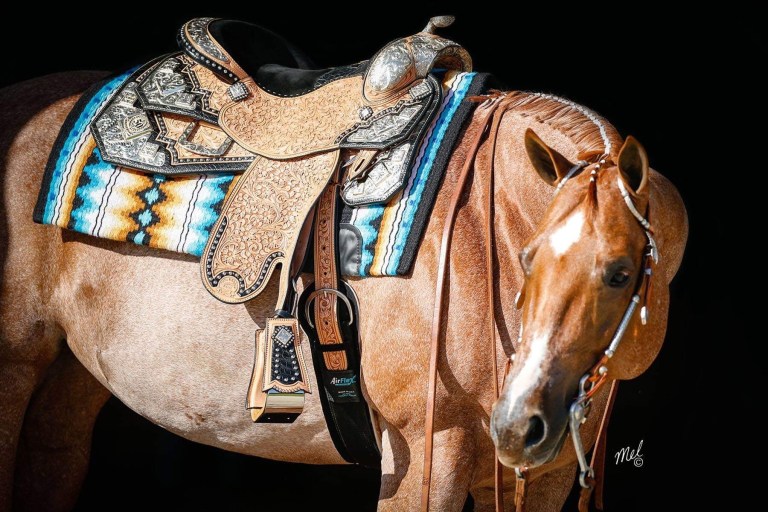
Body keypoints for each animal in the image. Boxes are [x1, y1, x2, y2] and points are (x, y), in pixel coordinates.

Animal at [0, 71, 687, 511]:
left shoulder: (543, 475)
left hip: (68, 388)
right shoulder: (426, 451)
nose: (519, 423)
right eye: (527, 258)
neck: (480, 230)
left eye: (620, 274)